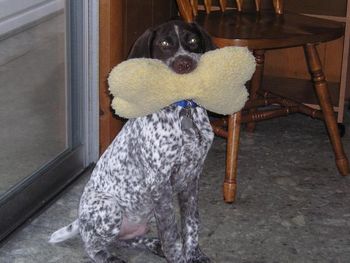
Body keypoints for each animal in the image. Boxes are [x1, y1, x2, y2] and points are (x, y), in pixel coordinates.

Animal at [48, 21, 215, 263]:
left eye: (192, 40)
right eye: (164, 44)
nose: (185, 64)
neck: (183, 112)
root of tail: (80, 220)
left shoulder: (191, 179)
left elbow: (191, 225)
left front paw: (194, 255)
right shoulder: (159, 184)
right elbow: (172, 236)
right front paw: (178, 258)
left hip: (147, 215)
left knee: (125, 239)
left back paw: (153, 245)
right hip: (111, 208)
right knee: (92, 245)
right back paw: (107, 256)